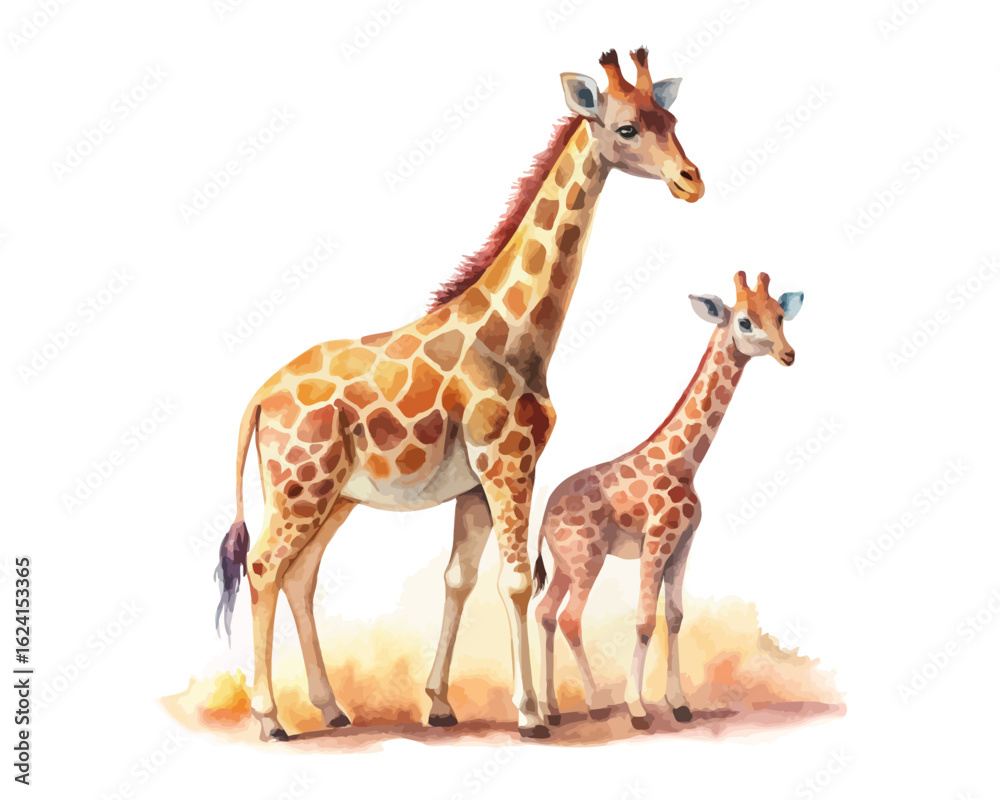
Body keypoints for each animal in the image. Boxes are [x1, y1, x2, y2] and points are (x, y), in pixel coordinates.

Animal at [213, 47, 705, 742]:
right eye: (628, 127)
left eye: (672, 119)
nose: (691, 180)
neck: (518, 333)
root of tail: (258, 397)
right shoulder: (508, 462)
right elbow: (518, 581)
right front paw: (530, 714)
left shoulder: (475, 482)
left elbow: (460, 579)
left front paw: (440, 705)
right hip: (298, 488)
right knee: (262, 568)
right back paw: (270, 719)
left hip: (333, 494)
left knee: (299, 576)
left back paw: (332, 709)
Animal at [533, 272, 804, 728]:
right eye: (745, 321)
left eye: (781, 316)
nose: (789, 355)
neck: (685, 462)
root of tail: (543, 518)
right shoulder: (656, 542)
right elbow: (644, 620)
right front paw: (637, 708)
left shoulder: (682, 545)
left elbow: (674, 617)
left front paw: (679, 704)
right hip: (587, 559)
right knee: (568, 618)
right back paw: (594, 704)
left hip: (567, 563)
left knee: (546, 614)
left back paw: (551, 710)